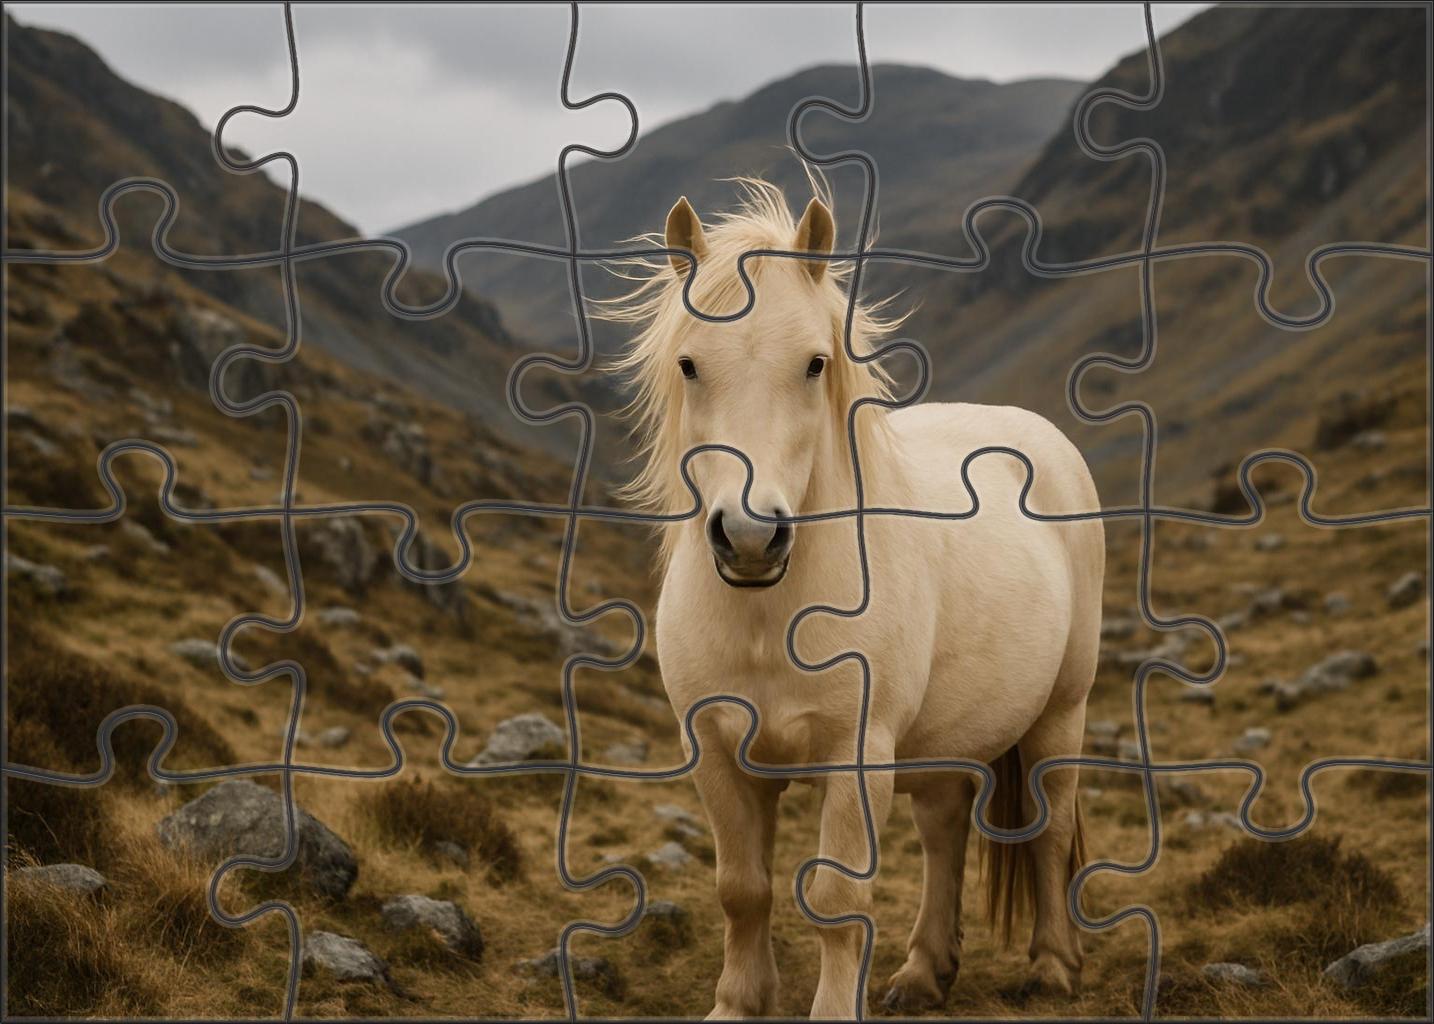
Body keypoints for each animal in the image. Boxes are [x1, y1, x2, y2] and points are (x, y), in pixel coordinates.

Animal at [603, 180, 1104, 1019]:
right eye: (689, 364)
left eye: (814, 363)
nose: (750, 537)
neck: (770, 617)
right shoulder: (716, 751)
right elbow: (742, 890)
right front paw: (738, 1002)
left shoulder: (857, 756)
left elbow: (839, 898)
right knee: (942, 831)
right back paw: (922, 972)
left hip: (1059, 715)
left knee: (1051, 825)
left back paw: (1054, 966)